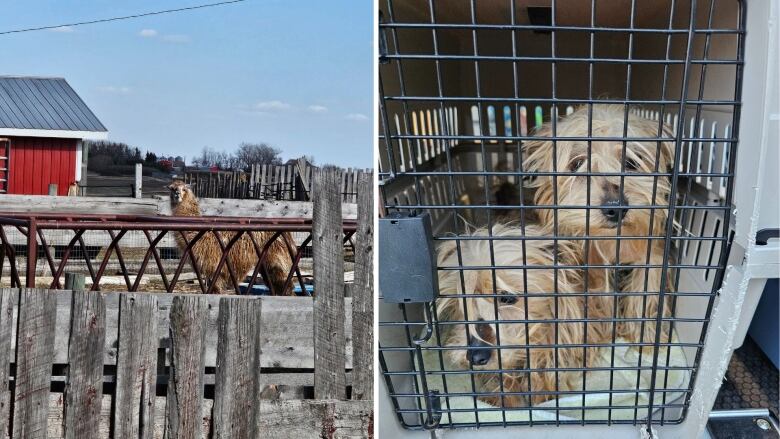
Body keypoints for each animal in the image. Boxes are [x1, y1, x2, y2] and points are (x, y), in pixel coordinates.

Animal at [520, 104, 672, 354]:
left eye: (631, 162)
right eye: (577, 164)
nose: (615, 208)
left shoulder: (650, 254)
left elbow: (644, 292)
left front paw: (644, 337)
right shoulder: (592, 263)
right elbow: (602, 293)